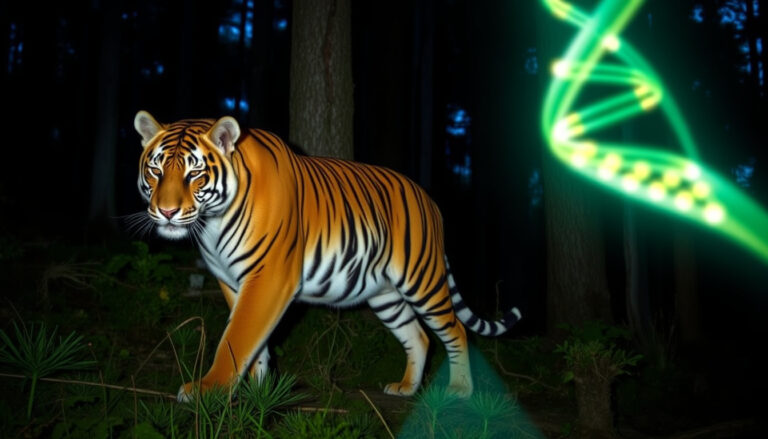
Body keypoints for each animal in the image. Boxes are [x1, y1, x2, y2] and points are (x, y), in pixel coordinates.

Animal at [133, 110, 522, 401]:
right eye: (155, 171)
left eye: (194, 174)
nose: (166, 212)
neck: (212, 223)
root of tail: (429, 199)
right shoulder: (230, 281)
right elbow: (255, 341)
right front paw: (258, 391)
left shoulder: (268, 277)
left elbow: (238, 335)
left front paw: (208, 390)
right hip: (385, 295)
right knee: (419, 336)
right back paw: (407, 388)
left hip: (422, 279)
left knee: (456, 329)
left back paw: (460, 389)